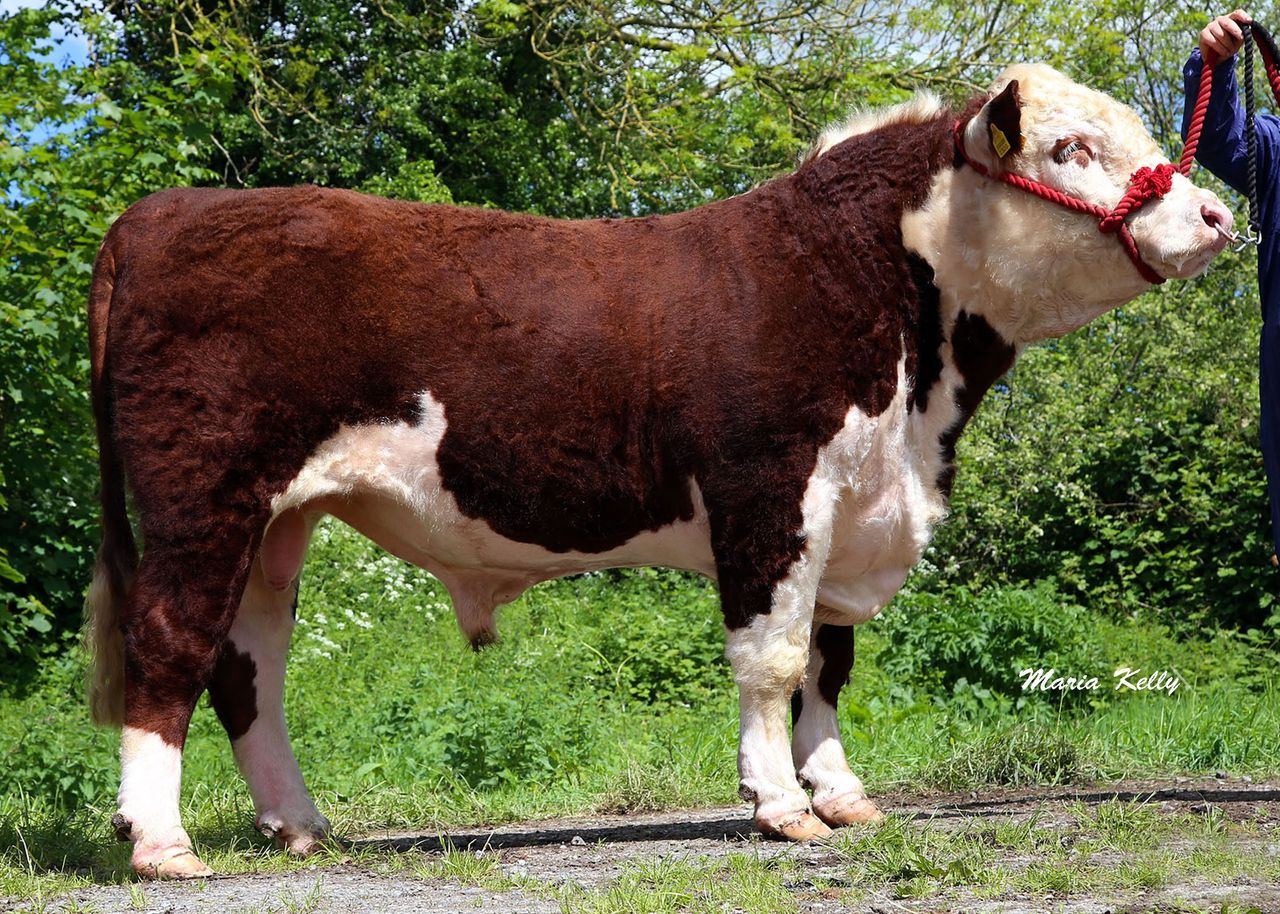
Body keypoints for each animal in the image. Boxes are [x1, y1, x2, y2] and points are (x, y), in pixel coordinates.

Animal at [85, 63, 1232, 879]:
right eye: (1069, 145)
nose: (1217, 215)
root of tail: (159, 211)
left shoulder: (848, 510)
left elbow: (827, 663)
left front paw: (839, 792)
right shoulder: (770, 492)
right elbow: (771, 660)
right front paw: (780, 807)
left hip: (281, 517)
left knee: (250, 665)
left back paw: (299, 823)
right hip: (202, 496)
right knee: (171, 644)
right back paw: (161, 842)